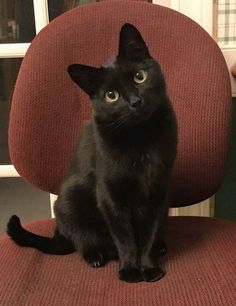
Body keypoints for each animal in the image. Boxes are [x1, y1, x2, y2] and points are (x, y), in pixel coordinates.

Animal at [6, 23, 177, 282]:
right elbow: (125, 238)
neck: (141, 139)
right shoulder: (109, 196)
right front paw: (130, 270)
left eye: (140, 77)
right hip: (70, 200)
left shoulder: (158, 191)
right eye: (111, 95)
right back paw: (95, 255)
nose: (135, 101)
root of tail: (58, 234)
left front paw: (150, 268)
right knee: (81, 239)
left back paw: (160, 247)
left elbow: (149, 234)